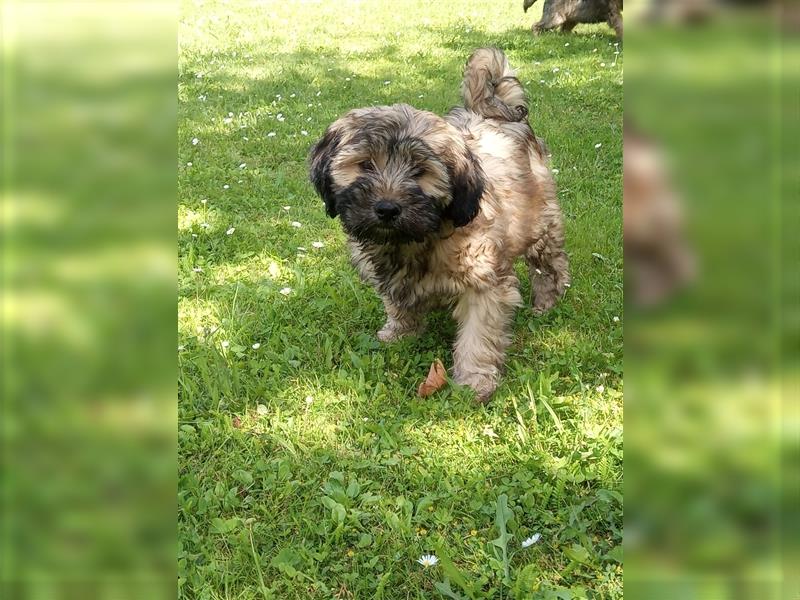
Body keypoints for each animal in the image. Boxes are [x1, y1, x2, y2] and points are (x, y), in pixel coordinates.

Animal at [308, 48, 568, 404]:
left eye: (419, 171)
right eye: (365, 165)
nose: (387, 208)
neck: (418, 238)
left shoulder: (483, 282)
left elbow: (478, 334)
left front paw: (473, 380)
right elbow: (397, 301)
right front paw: (399, 332)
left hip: (540, 220)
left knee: (549, 263)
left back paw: (547, 302)